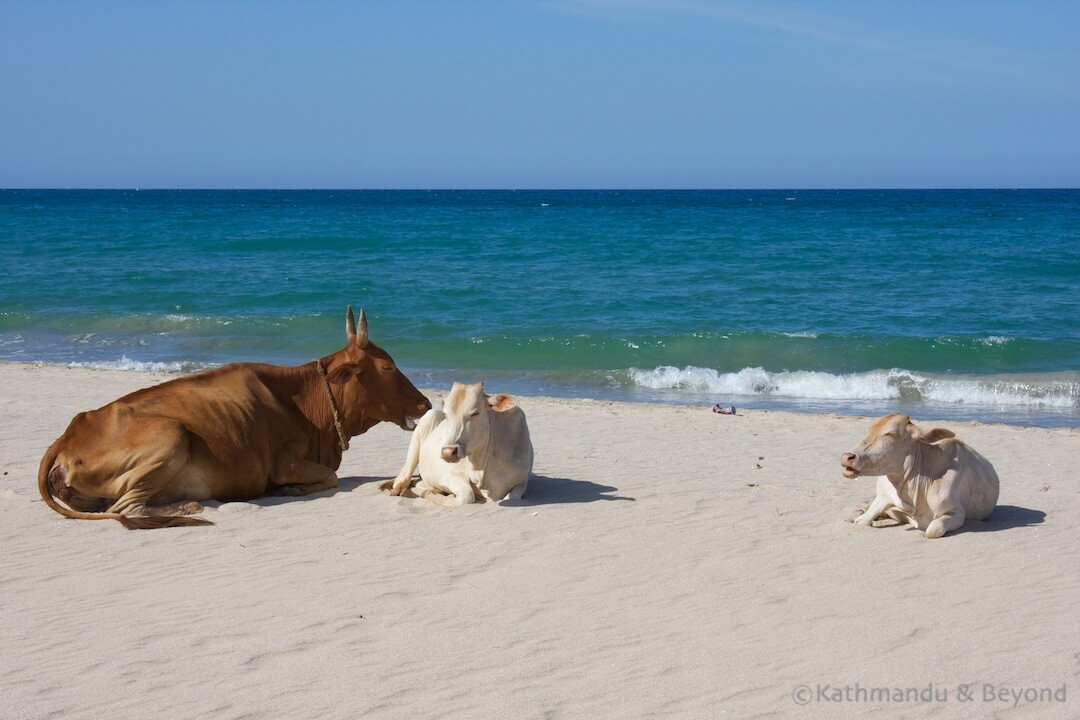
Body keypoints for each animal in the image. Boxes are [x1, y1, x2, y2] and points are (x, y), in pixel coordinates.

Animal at [39, 308, 432, 528]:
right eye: (387, 366)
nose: (425, 403)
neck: (303, 400)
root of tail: (69, 433)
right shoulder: (282, 464)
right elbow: (330, 477)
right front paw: (293, 489)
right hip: (171, 435)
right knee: (127, 508)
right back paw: (191, 504)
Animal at [382, 382, 533, 507]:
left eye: (475, 413)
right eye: (446, 415)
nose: (448, 452)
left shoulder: (522, 480)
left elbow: (512, 497)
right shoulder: (448, 475)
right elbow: (466, 496)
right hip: (426, 421)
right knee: (403, 481)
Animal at [838, 414, 997, 537]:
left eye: (890, 434)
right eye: (868, 430)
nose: (847, 457)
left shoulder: (957, 512)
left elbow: (932, 529)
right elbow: (861, 520)